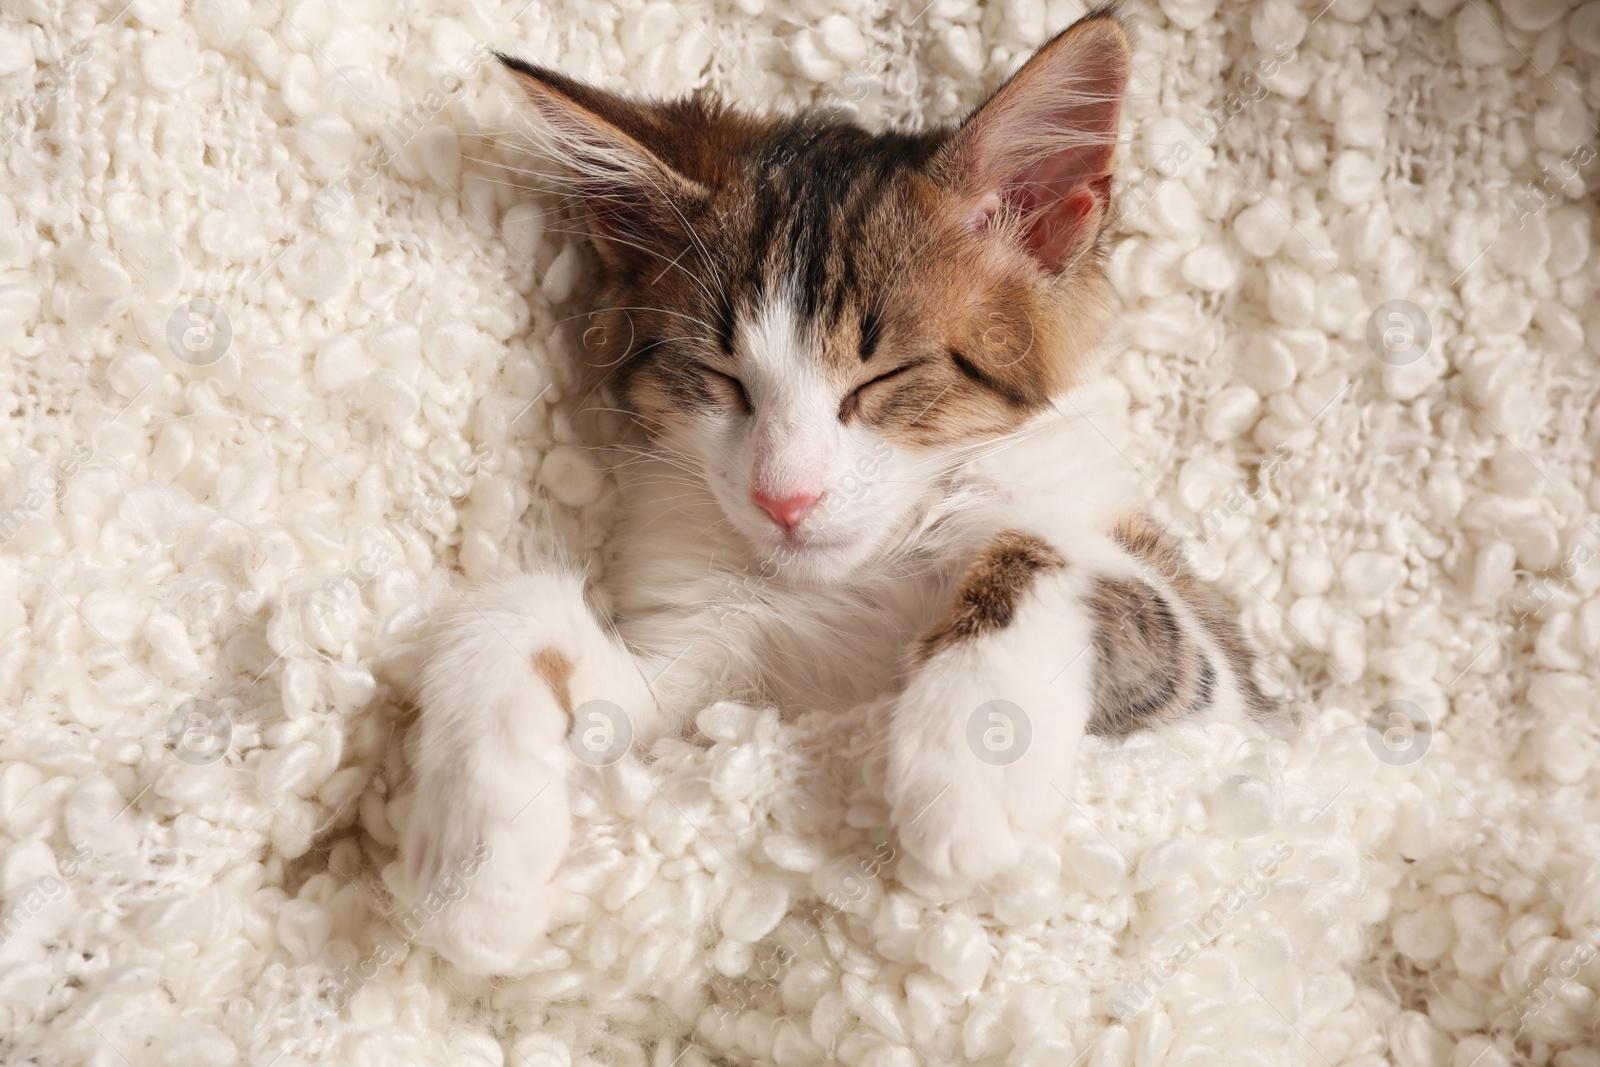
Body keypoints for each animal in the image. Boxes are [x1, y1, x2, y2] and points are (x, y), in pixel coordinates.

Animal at [400, 10, 1273, 979]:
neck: (851, 581)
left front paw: (977, 751)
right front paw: (476, 863)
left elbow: (1063, 553)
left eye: (882, 378)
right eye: (720, 378)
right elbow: (519, 617)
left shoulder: (1231, 705)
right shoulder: (700, 706)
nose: (786, 499)